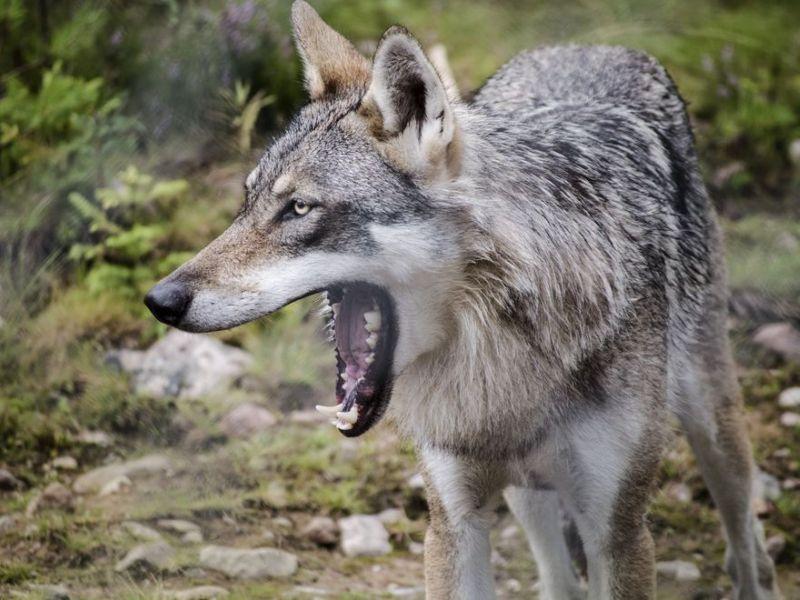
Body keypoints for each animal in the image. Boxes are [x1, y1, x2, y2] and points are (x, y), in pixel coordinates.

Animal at [145, 2, 780, 596]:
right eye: (247, 202)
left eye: (299, 208)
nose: (160, 300)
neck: (498, 350)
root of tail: (592, 45)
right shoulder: (453, 522)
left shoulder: (619, 534)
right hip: (529, 497)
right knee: (558, 579)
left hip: (712, 424)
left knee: (747, 539)